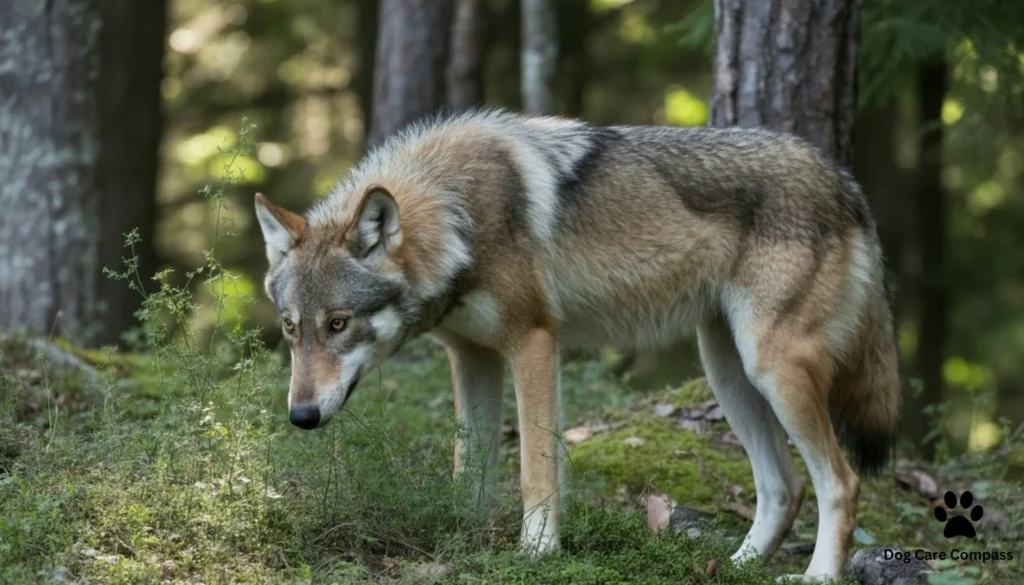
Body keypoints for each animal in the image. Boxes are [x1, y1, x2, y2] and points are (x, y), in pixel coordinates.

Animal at [255, 108, 902, 582]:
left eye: (339, 324)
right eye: (291, 327)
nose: (301, 416)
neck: (457, 215)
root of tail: (843, 178)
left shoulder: (534, 343)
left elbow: (534, 469)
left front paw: (537, 551)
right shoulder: (472, 358)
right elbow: (469, 468)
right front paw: (465, 540)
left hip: (771, 370)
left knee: (840, 482)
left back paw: (818, 575)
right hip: (728, 374)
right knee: (783, 487)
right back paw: (734, 567)